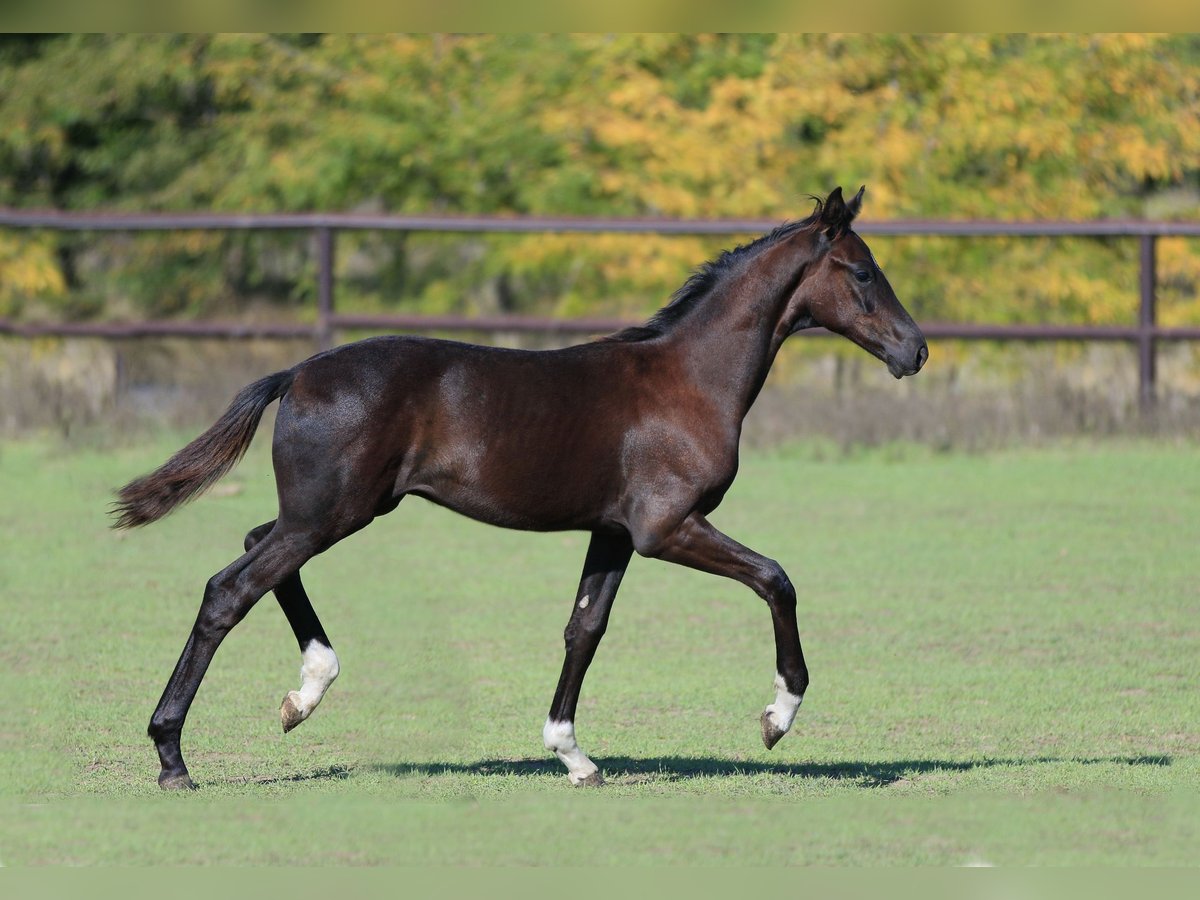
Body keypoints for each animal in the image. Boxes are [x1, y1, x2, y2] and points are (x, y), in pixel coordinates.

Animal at [114, 187, 926, 787]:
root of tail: (298, 373)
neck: (688, 380)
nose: (914, 350)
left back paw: (303, 693)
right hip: (330, 512)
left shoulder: (614, 532)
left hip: (325, 511)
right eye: (862, 272)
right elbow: (776, 579)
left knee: (257, 548)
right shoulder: (668, 528)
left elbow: (584, 629)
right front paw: (776, 718)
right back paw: (174, 756)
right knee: (230, 588)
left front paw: (573, 755)